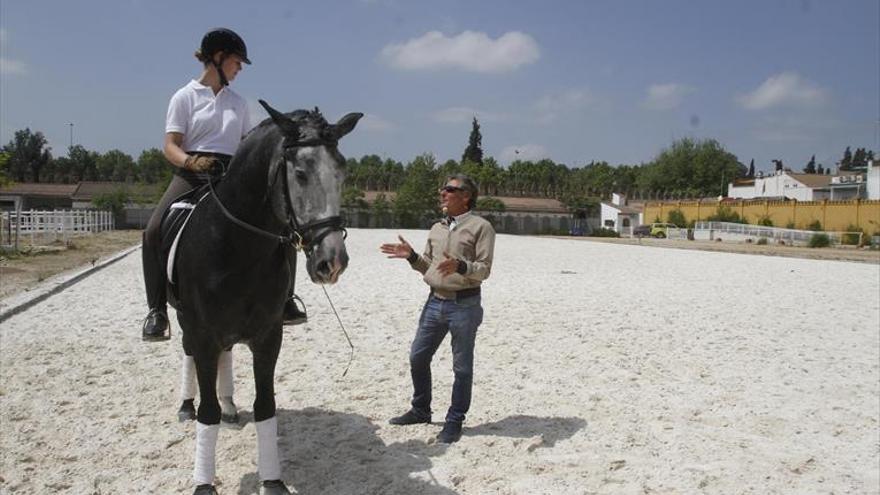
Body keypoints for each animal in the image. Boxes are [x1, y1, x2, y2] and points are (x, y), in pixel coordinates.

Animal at [170, 99, 362, 494]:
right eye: (300, 173)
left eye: (342, 173)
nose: (332, 262)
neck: (237, 246)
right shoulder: (203, 334)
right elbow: (207, 413)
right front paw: (204, 483)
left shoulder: (268, 336)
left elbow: (265, 406)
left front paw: (272, 480)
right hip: (185, 325)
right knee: (188, 356)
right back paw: (185, 405)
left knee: (226, 358)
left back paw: (230, 406)